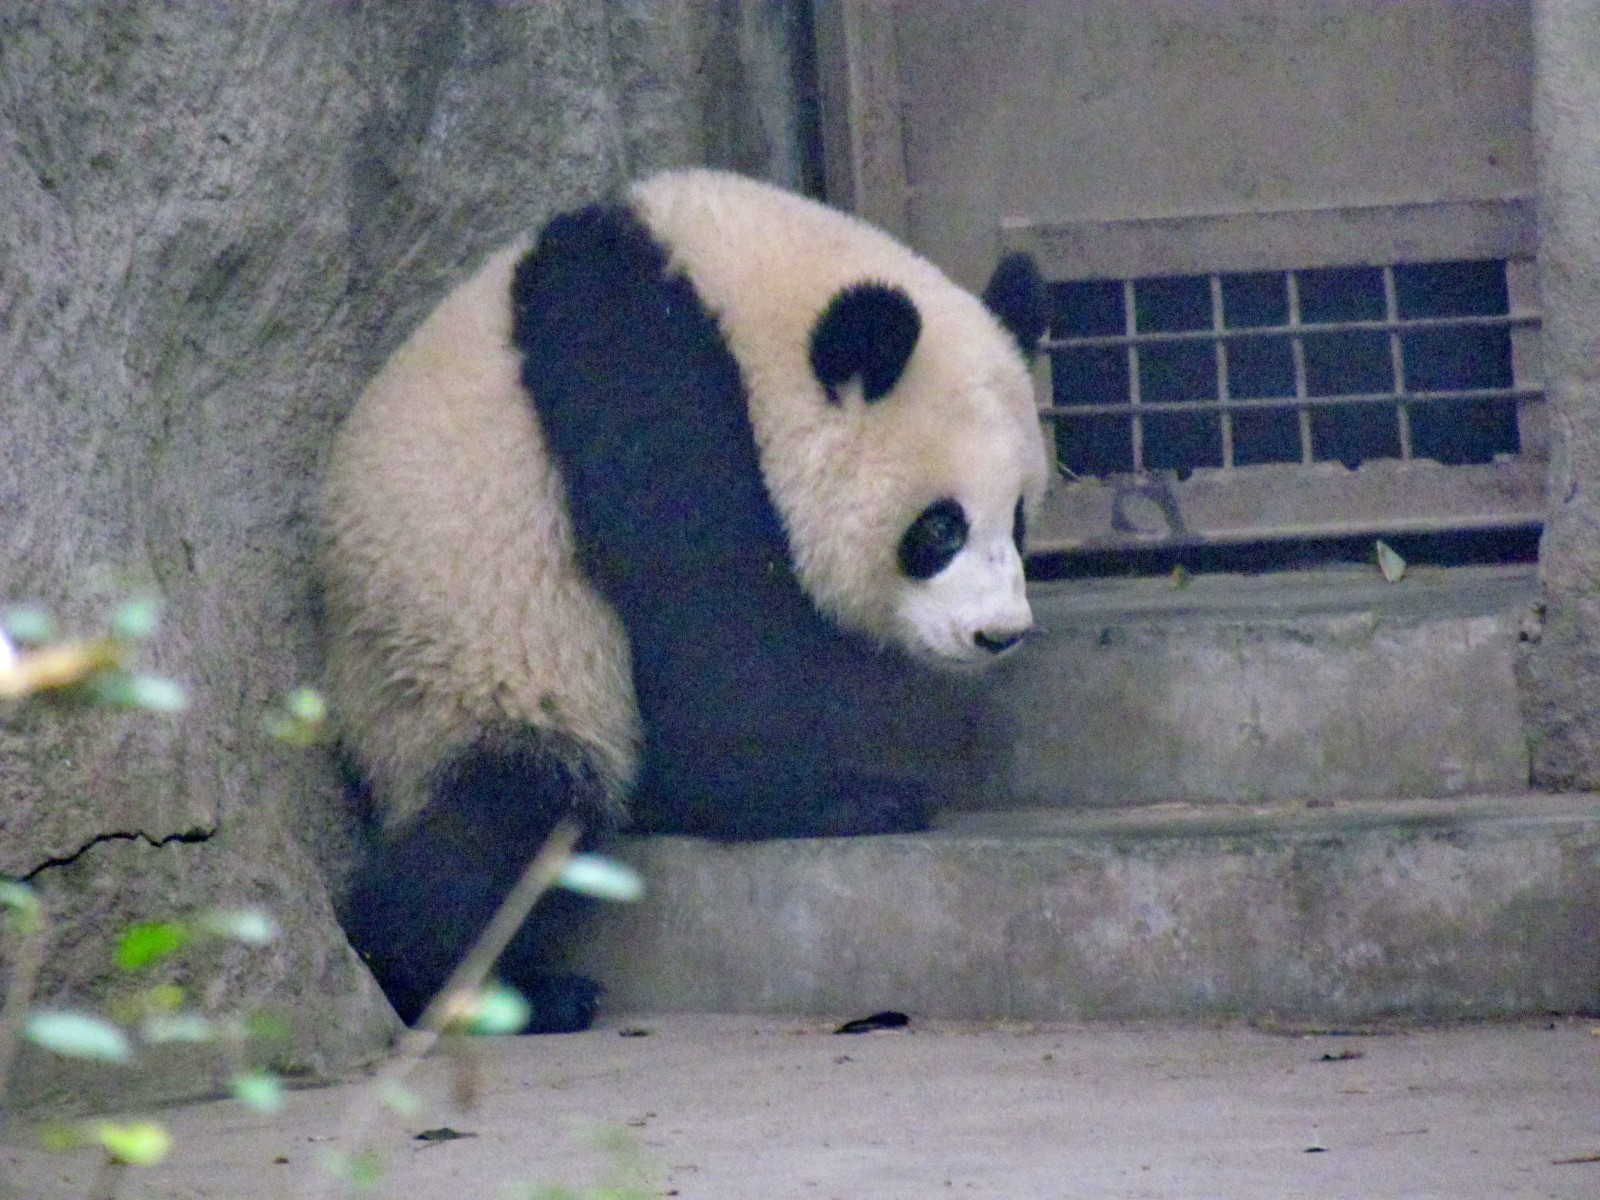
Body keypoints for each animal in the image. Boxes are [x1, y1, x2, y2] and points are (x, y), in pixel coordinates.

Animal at [320, 168, 1050, 1032]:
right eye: (939, 529)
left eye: (1019, 519)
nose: (999, 634)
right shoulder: (644, 370)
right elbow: (706, 621)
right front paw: (843, 797)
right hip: (468, 656)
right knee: (508, 816)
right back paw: (476, 985)